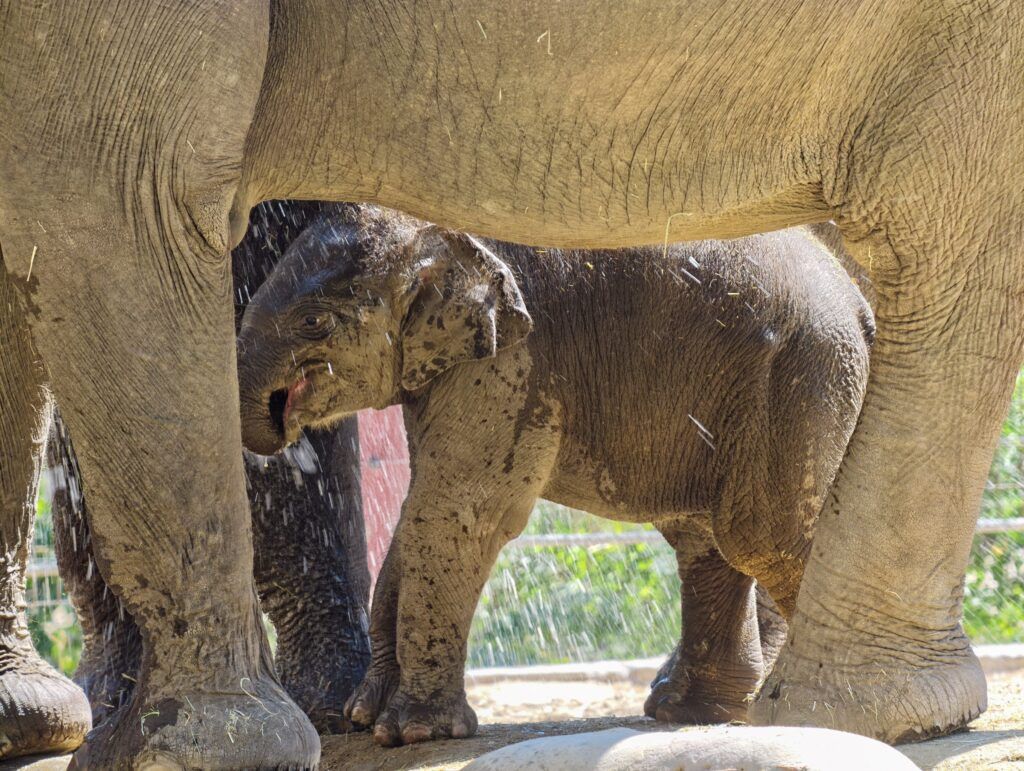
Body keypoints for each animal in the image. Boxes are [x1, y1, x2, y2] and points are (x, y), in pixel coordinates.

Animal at [235, 204, 874, 746]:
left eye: (314, 321)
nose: (275, 432)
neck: (429, 228)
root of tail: (855, 299)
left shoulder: (515, 357)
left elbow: (460, 511)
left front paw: (414, 733)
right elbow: (421, 509)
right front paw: (366, 719)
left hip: (802, 374)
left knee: (763, 535)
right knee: (706, 536)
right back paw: (692, 711)